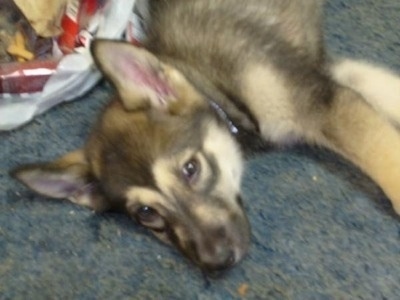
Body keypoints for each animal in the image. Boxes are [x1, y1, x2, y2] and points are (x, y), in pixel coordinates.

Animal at [10, 0, 400, 272]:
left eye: (191, 169)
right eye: (147, 214)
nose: (218, 262)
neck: (213, 84)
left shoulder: (318, 97)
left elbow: (382, 152)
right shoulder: (327, 77)